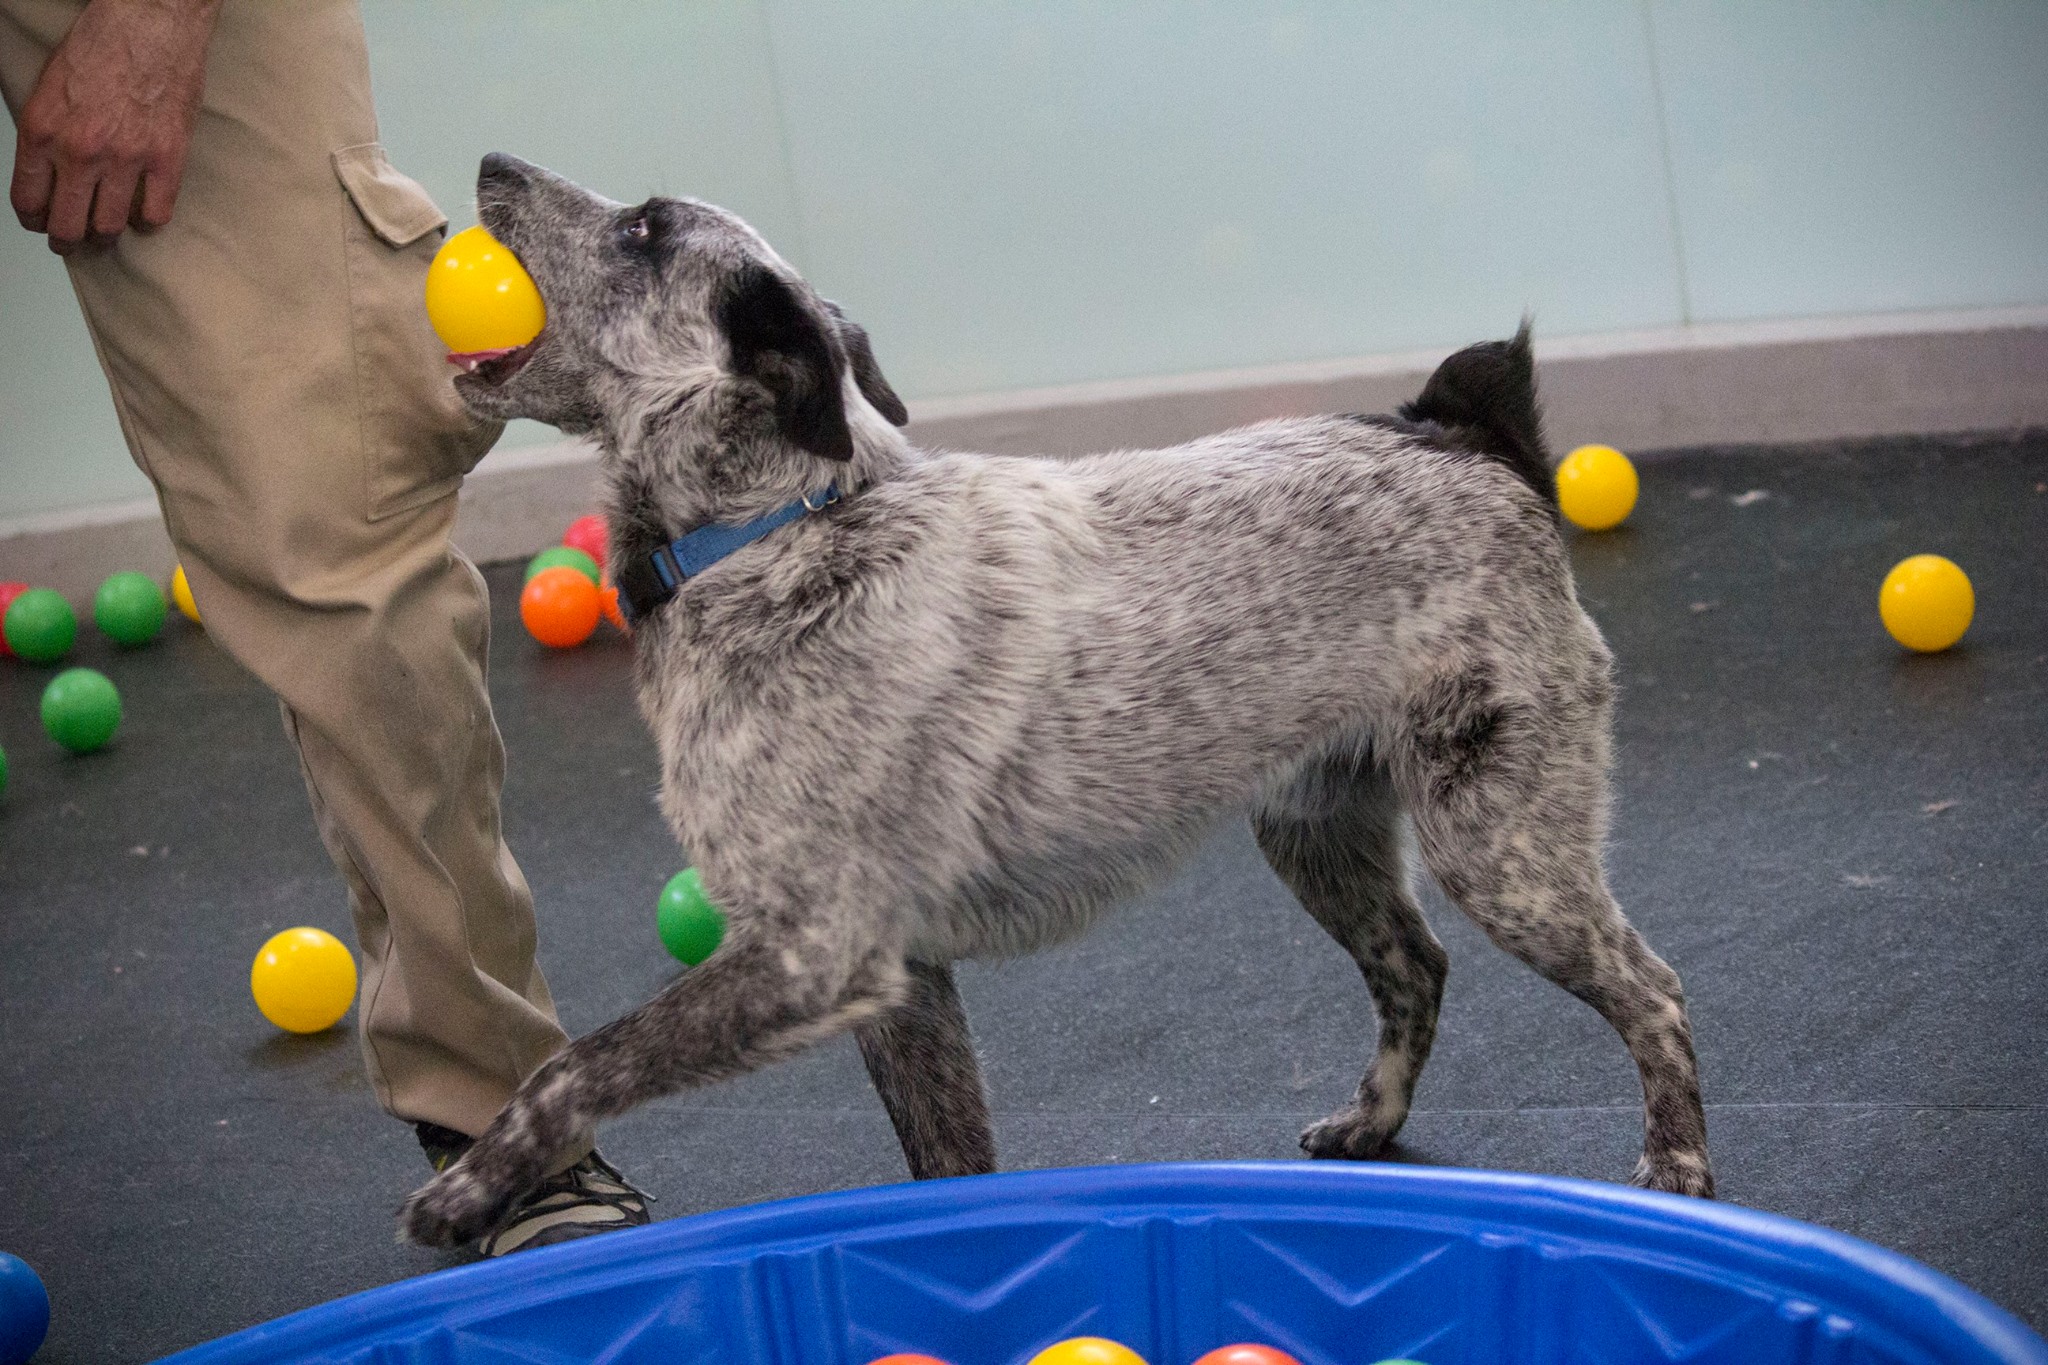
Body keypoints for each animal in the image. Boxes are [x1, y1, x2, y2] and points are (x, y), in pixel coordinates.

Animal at [399, 152, 1712, 1252]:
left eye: (642, 228)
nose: (490, 164)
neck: (772, 536)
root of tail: (1458, 439)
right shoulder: (897, 986)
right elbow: (947, 1164)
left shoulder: (809, 955)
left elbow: (578, 1063)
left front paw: (476, 1184)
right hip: (1315, 835)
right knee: (1416, 968)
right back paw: (1372, 1121)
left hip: (1501, 850)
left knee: (1650, 990)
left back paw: (1679, 1171)